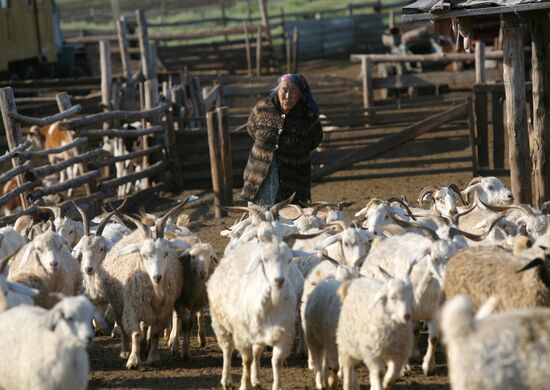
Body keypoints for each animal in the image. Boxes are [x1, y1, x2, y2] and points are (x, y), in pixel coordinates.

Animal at [102, 198, 194, 368]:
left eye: (166, 253)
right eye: (143, 255)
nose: (157, 277)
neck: (155, 291)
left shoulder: (162, 312)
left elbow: (155, 334)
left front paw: (153, 357)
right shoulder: (132, 310)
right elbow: (135, 334)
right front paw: (133, 361)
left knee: (146, 326)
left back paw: (144, 349)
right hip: (118, 305)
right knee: (123, 328)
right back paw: (125, 351)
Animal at [208, 241, 302, 390]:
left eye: (289, 260)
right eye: (264, 260)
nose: (279, 280)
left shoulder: (283, 335)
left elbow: (277, 362)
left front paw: (275, 385)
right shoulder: (243, 335)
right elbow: (247, 360)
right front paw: (244, 385)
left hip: (258, 333)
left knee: (257, 352)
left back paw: (256, 379)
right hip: (220, 322)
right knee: (227, 350)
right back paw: (226, 380)